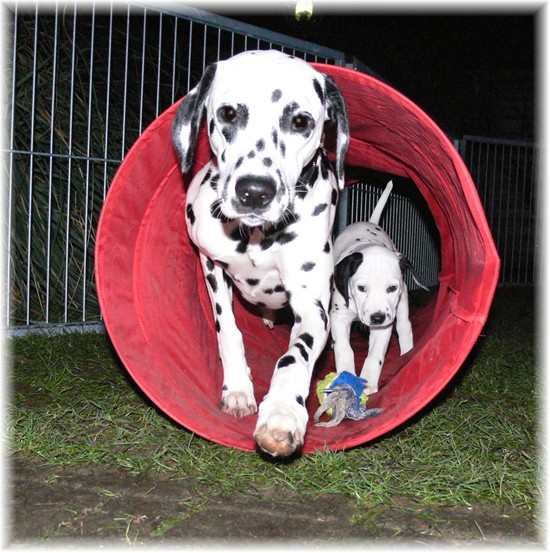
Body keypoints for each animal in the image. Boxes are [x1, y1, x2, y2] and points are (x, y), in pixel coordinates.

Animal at [172, 50, 349, 456]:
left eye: (300, 121)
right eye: (228, 113)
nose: (254, 191)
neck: (255, 235)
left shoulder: (312, 306)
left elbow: (293, 356)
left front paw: (283, 412)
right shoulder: (210, 264)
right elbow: (228, 331)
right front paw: (238, 390)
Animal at [330, 181, 427, 395]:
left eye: (391, 288)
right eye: (361, 288)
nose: (377, 318)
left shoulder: (384, 326)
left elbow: (375, 355)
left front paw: (368, 382)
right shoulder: (339, 317)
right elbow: (344, 349)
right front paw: (346, 378)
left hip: (403, 302)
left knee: (404, 327)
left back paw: (407, 353)